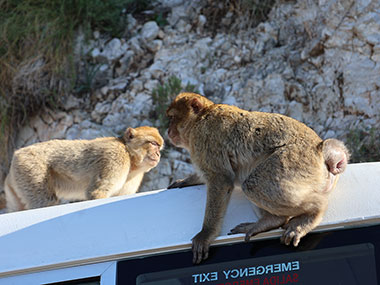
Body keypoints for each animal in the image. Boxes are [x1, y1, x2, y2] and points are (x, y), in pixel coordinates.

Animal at [3, 126, 163, 211]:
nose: (158, 154)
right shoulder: (114, 158)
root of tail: (17, 154)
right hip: (29, 167)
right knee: (45, 201)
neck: (130, 157)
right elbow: (97, 193)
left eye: (159, 146)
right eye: (153, 143)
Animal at [166, 92, 350, 262]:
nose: (168, 131)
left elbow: (221, 180)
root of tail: (321, 150)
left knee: (251, 184)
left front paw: (206, 234)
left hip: (293, 160)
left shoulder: (204, 138)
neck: (201, 118)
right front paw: (186, 180)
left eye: (172, 117)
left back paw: (312, 213)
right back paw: (272, 220)